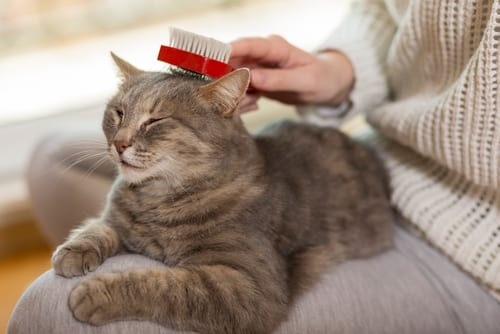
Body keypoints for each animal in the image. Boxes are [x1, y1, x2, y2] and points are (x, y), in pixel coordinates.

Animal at [50, 53, 394, 334]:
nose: (119, 143)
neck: (158, 200)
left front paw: (96, 293)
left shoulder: (248, 288)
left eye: (155, 120)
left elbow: (165, 285)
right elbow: (97, 227)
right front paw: (72, 251)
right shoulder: (116, 220)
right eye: (118, 113)